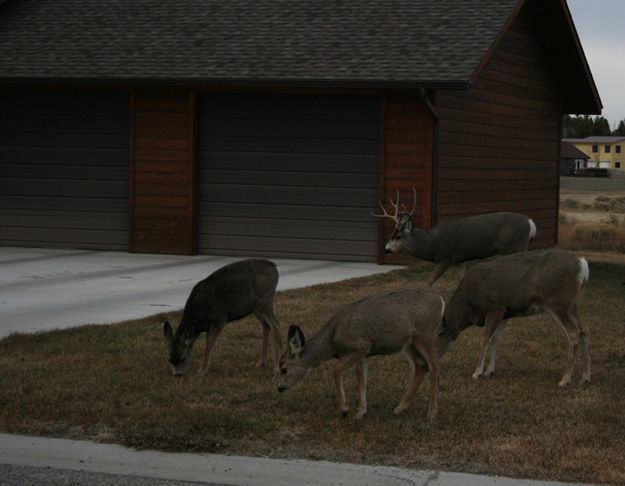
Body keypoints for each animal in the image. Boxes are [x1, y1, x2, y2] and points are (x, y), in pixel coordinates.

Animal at [276, 286, 444, 420]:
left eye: (284, 369)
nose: (279, 387)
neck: (332, 340)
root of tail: (440, 300)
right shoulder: (362, 355)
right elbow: (361, 379)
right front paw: (360, 413)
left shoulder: (360, 346)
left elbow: (335, 370)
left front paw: (345, 409)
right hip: (409, 343)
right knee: (421, 366)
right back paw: (399, 409)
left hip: (426, 334)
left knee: (435, 366)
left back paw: (432, 413)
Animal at [370, 190, 536, 286]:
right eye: (391, 235)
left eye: (398, 236)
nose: (386, 249)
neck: (431, 243)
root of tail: (530, 223)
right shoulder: (459, 260)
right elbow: (461, 279)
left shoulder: (447, 257)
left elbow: (429, 281)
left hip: (516, 246)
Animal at [438, 249, 588, 386]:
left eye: (437, 336)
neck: (468, 305)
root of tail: (583, 266)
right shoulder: (505, 312)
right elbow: (495, 339)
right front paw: (489, 370)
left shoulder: (494, 307)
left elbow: (485, 338)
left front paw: (477, 372)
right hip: (572, 305)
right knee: (584, 330)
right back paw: (585, 378)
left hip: (557, 302)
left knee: (574, 333)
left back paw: (565, 380)